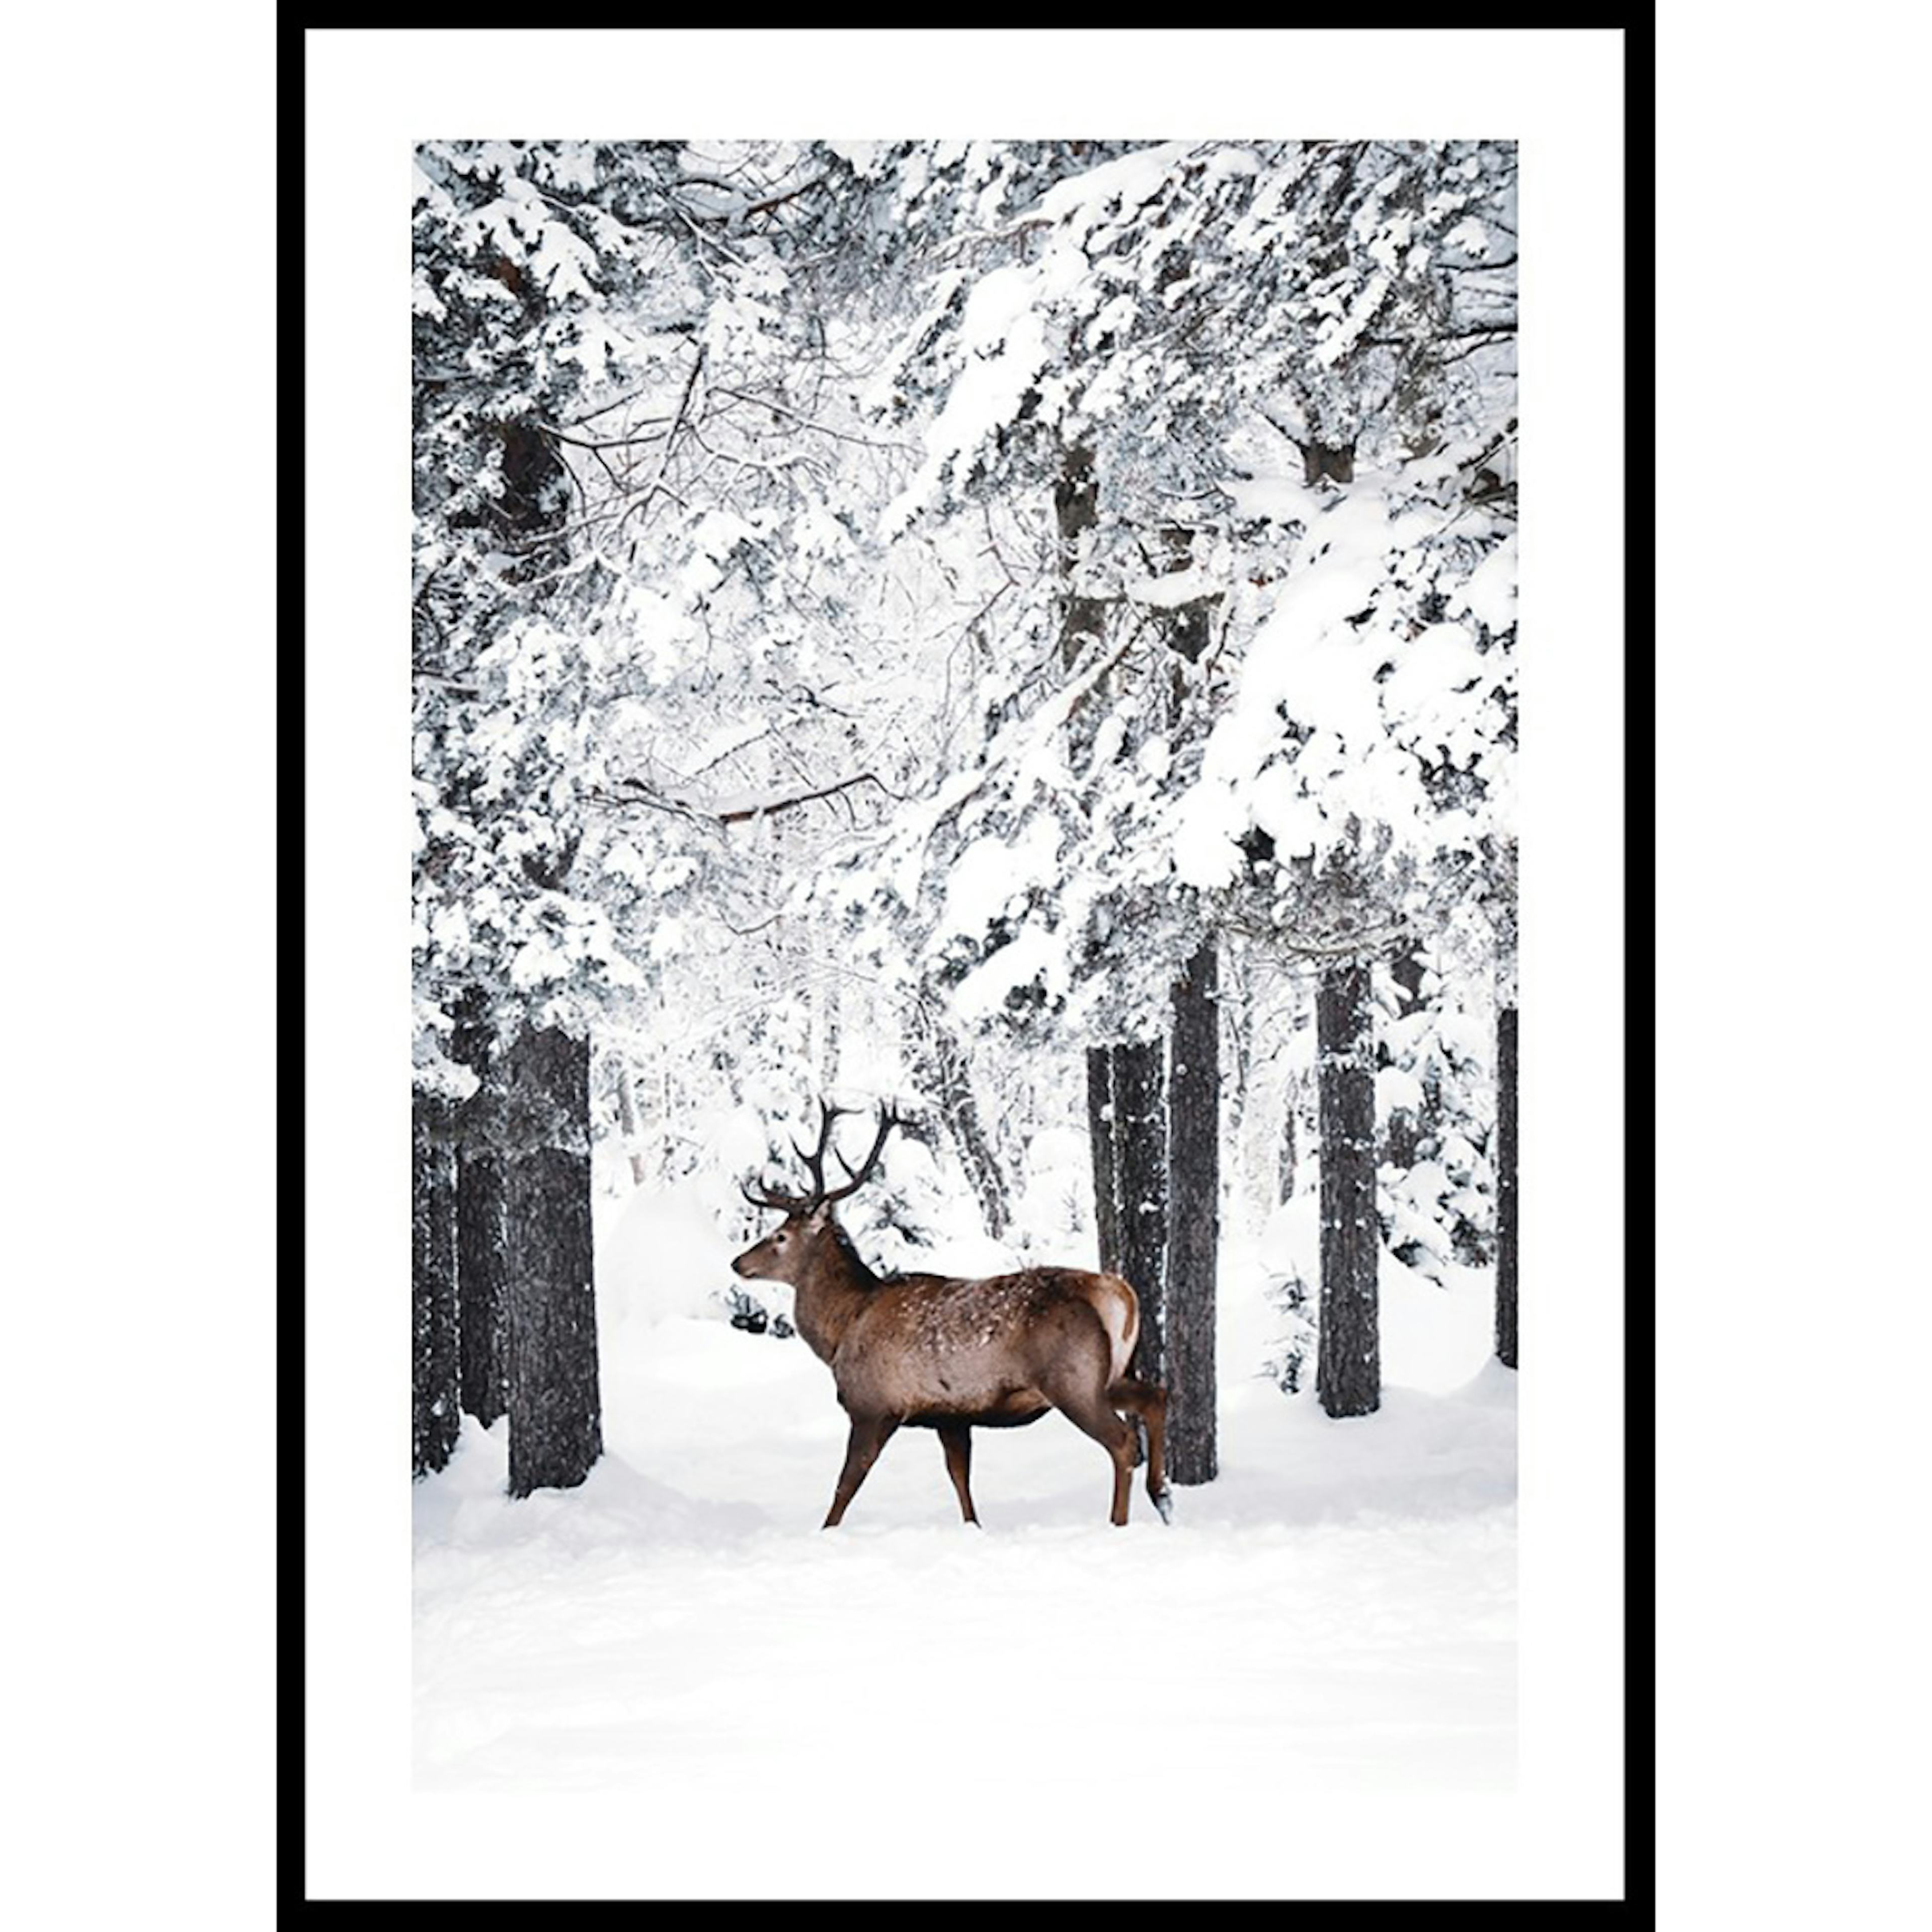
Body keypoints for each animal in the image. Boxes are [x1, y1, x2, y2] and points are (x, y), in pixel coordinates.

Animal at [732, 1101, 1172, 1530]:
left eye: (780, 1237)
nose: (738, 1263)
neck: (842, 1329)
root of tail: (1118, 1294)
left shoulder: (873, 1406)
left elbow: (845, 1487)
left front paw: (826, 1532)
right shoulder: (950, 1416)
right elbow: (960, 1479)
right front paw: (973, 1528)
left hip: (1072, 1379)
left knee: (1122, 1441)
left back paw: (1120, 1521)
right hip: (1111, 1373)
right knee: (1156, 1397)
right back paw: (1162, 1497)